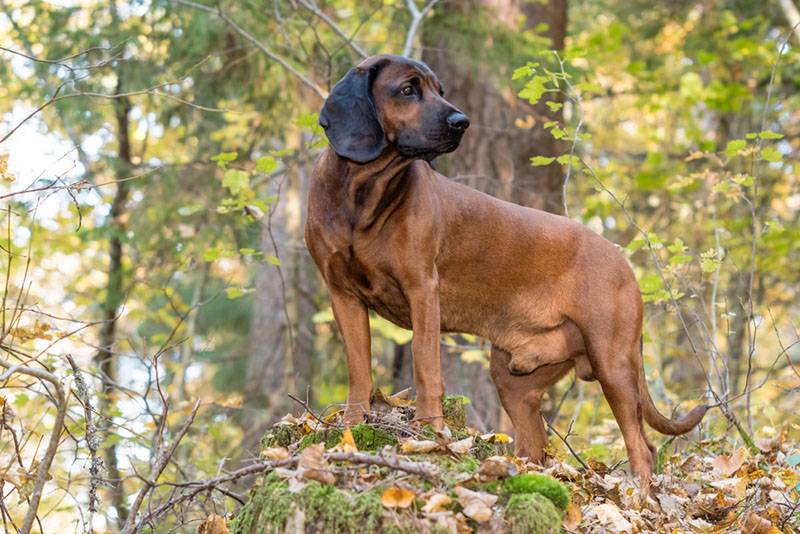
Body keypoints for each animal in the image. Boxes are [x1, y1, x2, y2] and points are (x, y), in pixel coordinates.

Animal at [304, 54, 708, 486]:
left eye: (440, 91)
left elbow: (425, 365)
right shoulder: (342, 295)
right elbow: (358, 368)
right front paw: (352, 423)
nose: (462, 121)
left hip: (612, 360)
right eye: (408, 90)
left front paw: (428, 432)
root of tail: (625, 264)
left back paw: (637, 493)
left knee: (643, 447)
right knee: (535, 445)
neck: (362, 196)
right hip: (515, 379)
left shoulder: (421, 290)